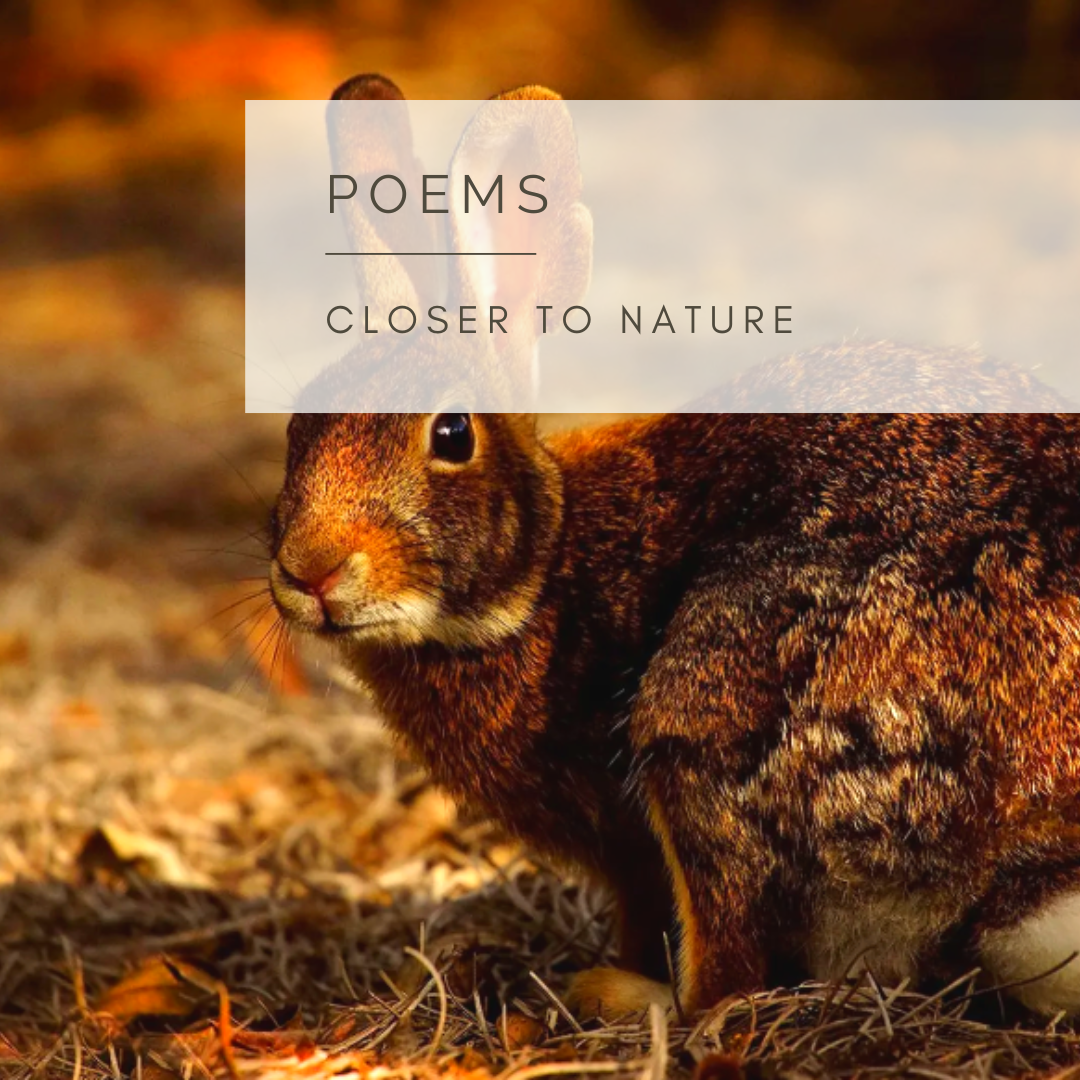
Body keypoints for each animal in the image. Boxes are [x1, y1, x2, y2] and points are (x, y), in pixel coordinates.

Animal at [269, 74, 1080, 1020]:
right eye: (297, 427)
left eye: (451, 434)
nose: (310, 570)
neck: (545, 574)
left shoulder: (634, 844)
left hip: (707, 707)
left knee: (725, 982)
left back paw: (615, 992)